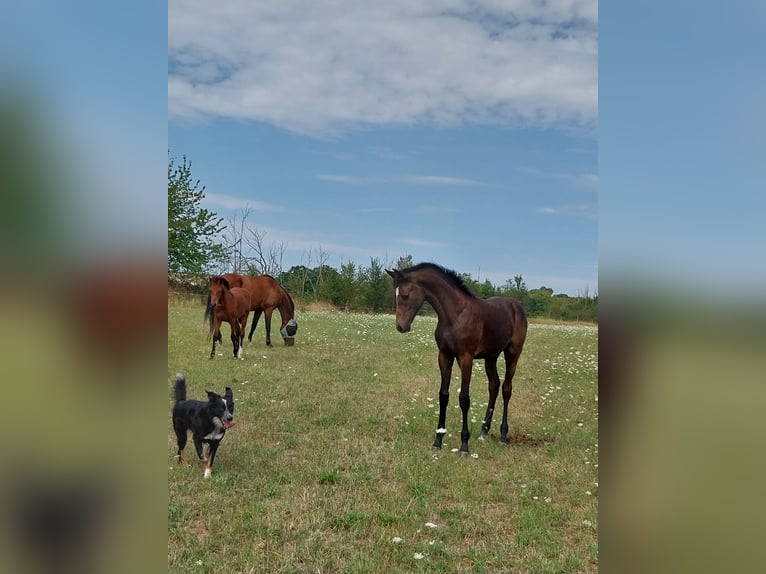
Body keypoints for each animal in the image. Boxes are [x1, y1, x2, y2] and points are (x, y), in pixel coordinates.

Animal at [386, 263, 528, 456]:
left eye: (405, 295)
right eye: (396, 294)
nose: (401, 327)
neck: (455, 314)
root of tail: (516, 305)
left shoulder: (465, 358)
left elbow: (464, 399)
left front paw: (464, 445)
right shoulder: (444, 356)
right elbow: (443, 395)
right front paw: (438, 440)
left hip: (513, 353)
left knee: (506, 388)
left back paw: (503, 435)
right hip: (491, 356)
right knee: (494, 385)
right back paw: (484, 431)